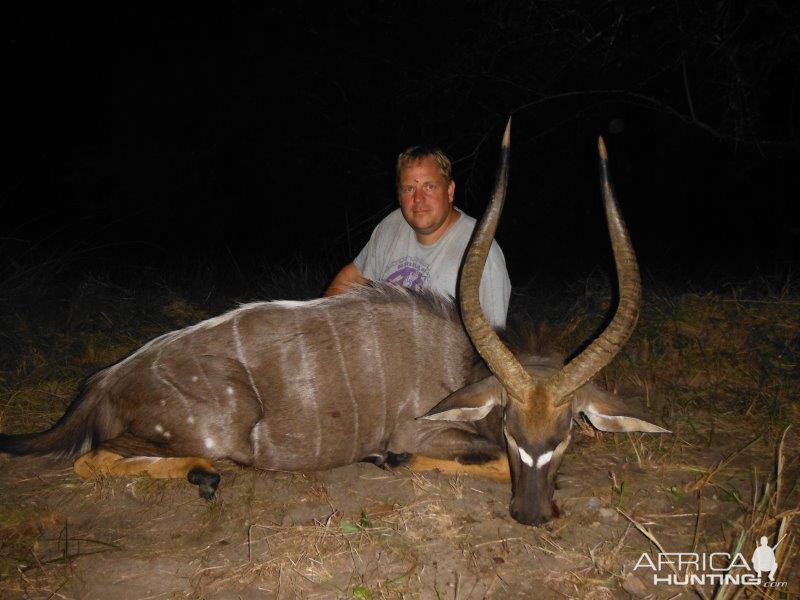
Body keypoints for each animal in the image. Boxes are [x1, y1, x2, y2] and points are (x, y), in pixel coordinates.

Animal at [1, 122, 668, 524]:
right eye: (508, 424)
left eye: (571, 428)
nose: (531, 513)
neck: (458, 361)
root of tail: (104, 382)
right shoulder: (420, 433)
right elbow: (464, 459)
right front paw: (387, 462)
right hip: (217, 430)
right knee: (93, 457)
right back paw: (207, 474)